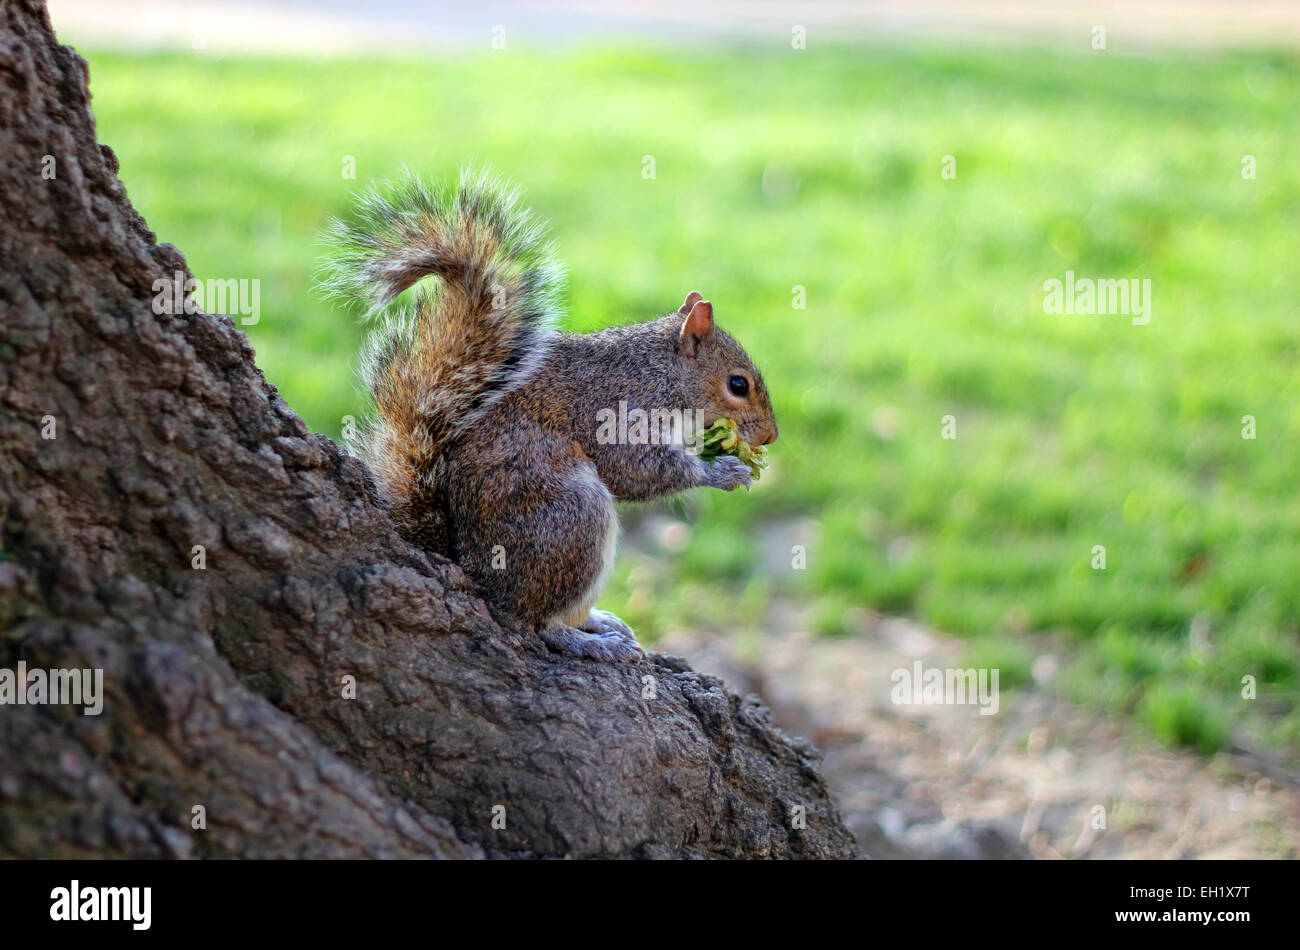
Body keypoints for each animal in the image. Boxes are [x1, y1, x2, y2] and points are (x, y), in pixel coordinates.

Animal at [321, 170, 778, 663]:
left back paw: (600, 620)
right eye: (738, 385)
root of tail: (471, 566)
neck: (661, 371)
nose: (770, 437)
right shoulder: (621, 408)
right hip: (570, 518)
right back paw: (586, 640)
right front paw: (723, 471)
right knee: (536, 622)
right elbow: (635, 470)